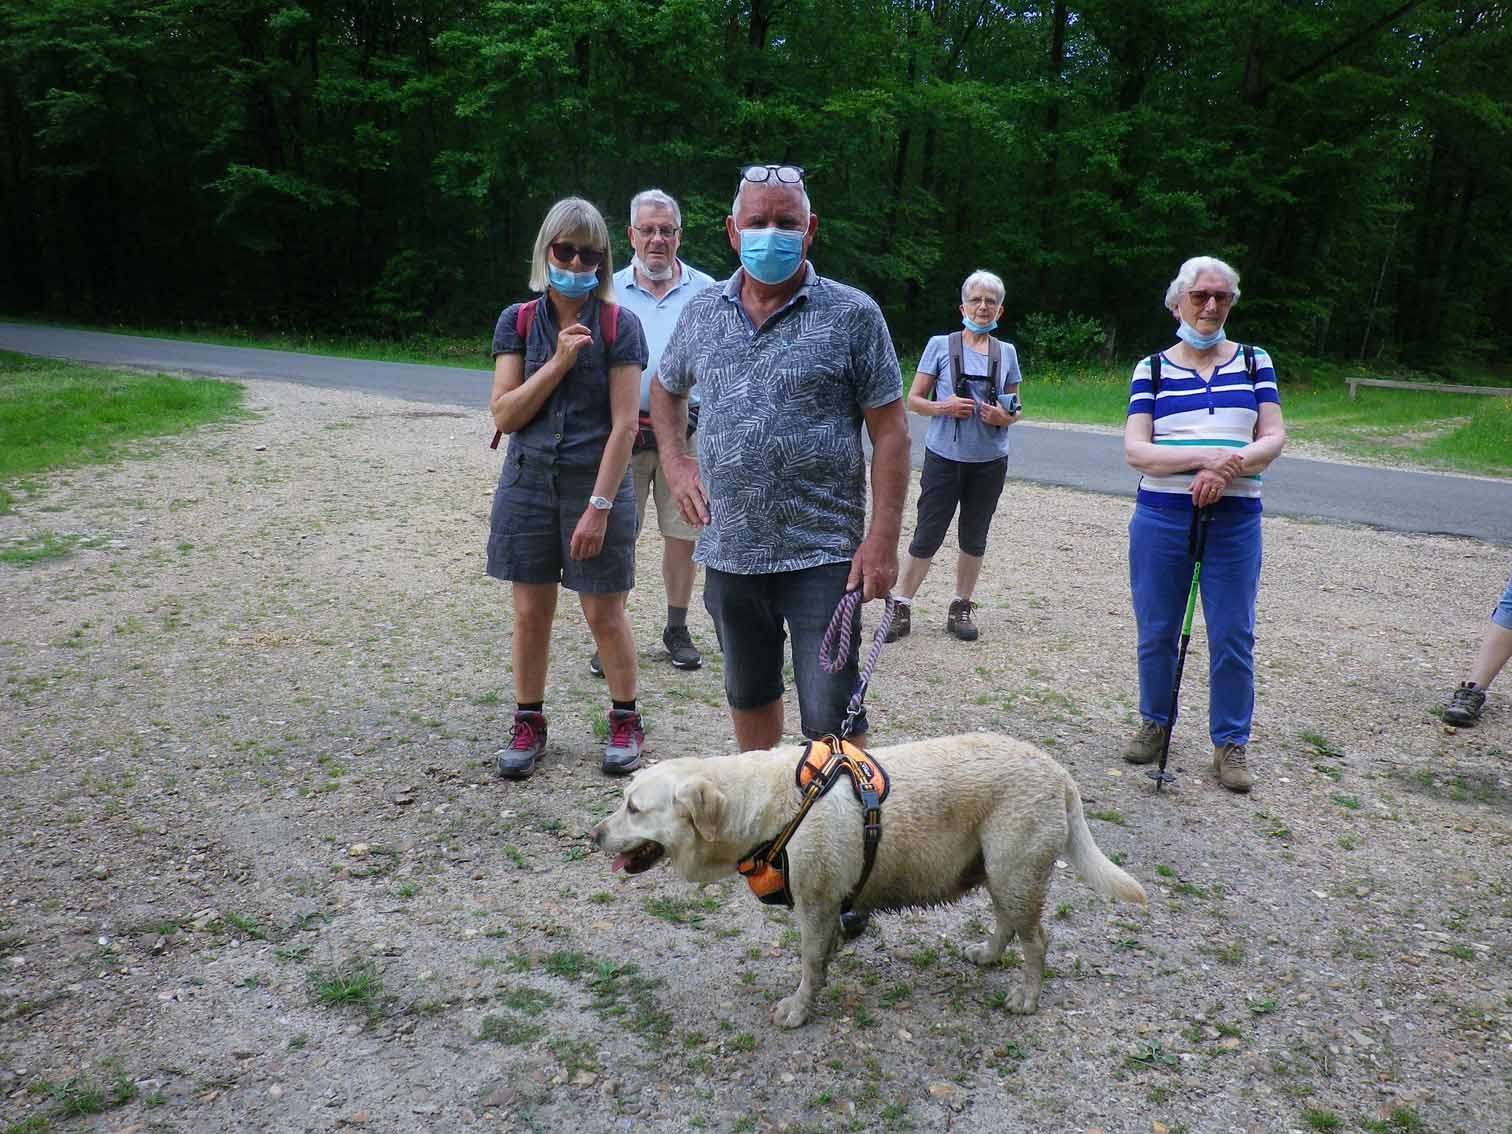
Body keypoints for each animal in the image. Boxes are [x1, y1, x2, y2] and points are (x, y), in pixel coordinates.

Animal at [589, 731, 1143, 1034]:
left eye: (634, 808)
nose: (593, 834)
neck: (770, 806)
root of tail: (1059, 773)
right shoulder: (825, 907)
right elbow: (823, 958)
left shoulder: (815, 904)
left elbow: (809, 965)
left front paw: (799, 1008)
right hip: (1000, 872)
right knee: (1007, 924)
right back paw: (987, 954)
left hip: (1016, 872)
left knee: (1037, 940)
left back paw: (1027, 996)